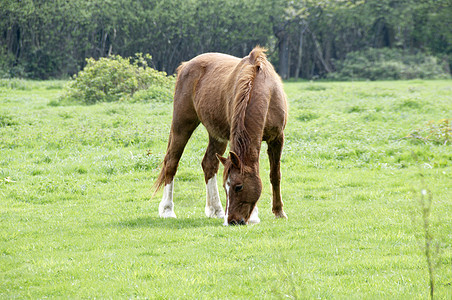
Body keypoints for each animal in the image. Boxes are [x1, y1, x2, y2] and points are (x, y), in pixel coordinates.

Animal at [155, 47, 288, 225]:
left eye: (239, 186)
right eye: (225, 187)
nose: (232, 221)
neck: (264, 88)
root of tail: (185, 65)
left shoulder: (277, 138)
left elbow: (275, 175)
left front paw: (279, 212)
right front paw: (254, 216)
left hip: (216, 135)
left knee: (209, 164)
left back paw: (216, 210)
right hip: (181, 125)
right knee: (171, 162)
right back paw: (167, 210)